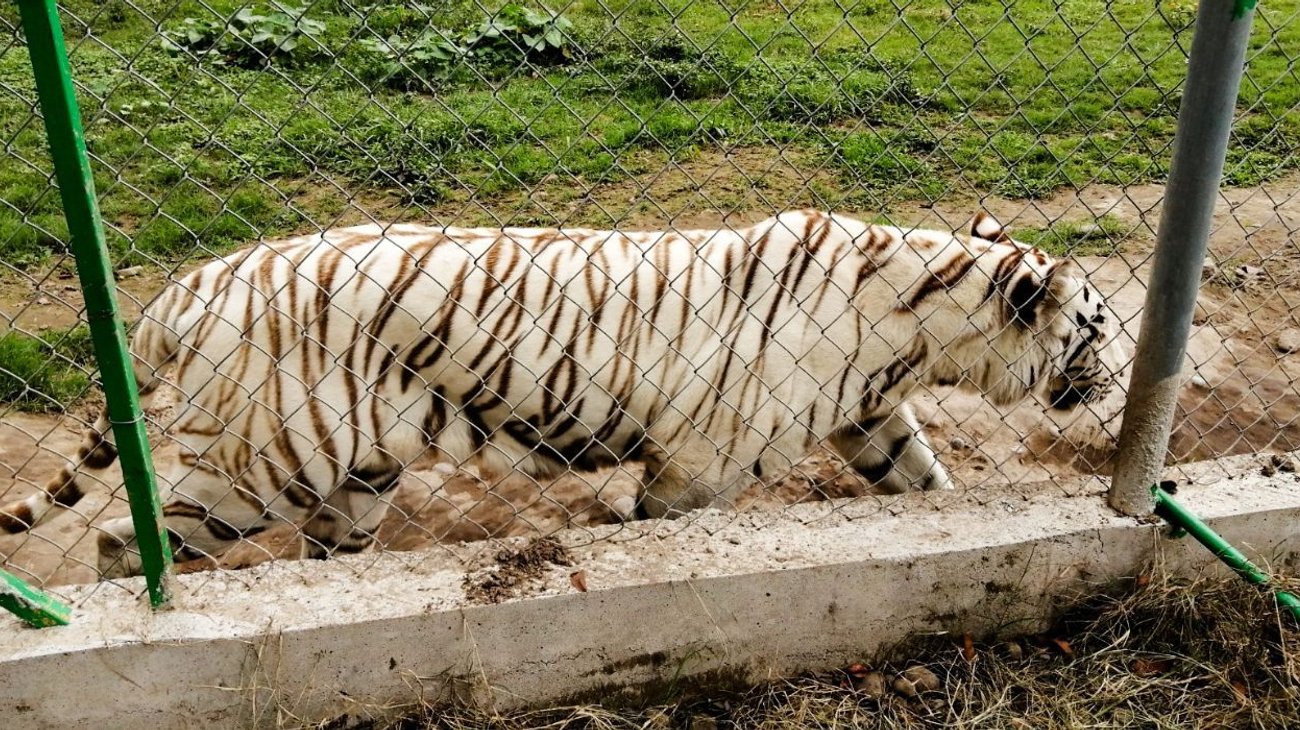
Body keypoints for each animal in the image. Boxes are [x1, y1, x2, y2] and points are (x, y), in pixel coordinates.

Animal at [0, 209, 1125, 579]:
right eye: (1100, 324)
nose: (1119, 380)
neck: (920, 326)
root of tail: (189, 284)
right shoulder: (701, 462)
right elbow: (661, 525)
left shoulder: (870, 415)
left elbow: (925, 482)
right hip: (261, 465)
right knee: (125, 541)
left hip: (353, 476)